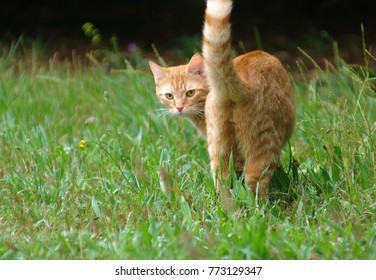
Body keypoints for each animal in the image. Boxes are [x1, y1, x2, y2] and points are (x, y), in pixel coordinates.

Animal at [148, 0, 296, 199]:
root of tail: (241, 82)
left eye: (190, 93)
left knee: (222, 179)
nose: (179, 108)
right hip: (264, 142)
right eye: (169, 96)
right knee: (254, 179)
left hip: (219, 146)